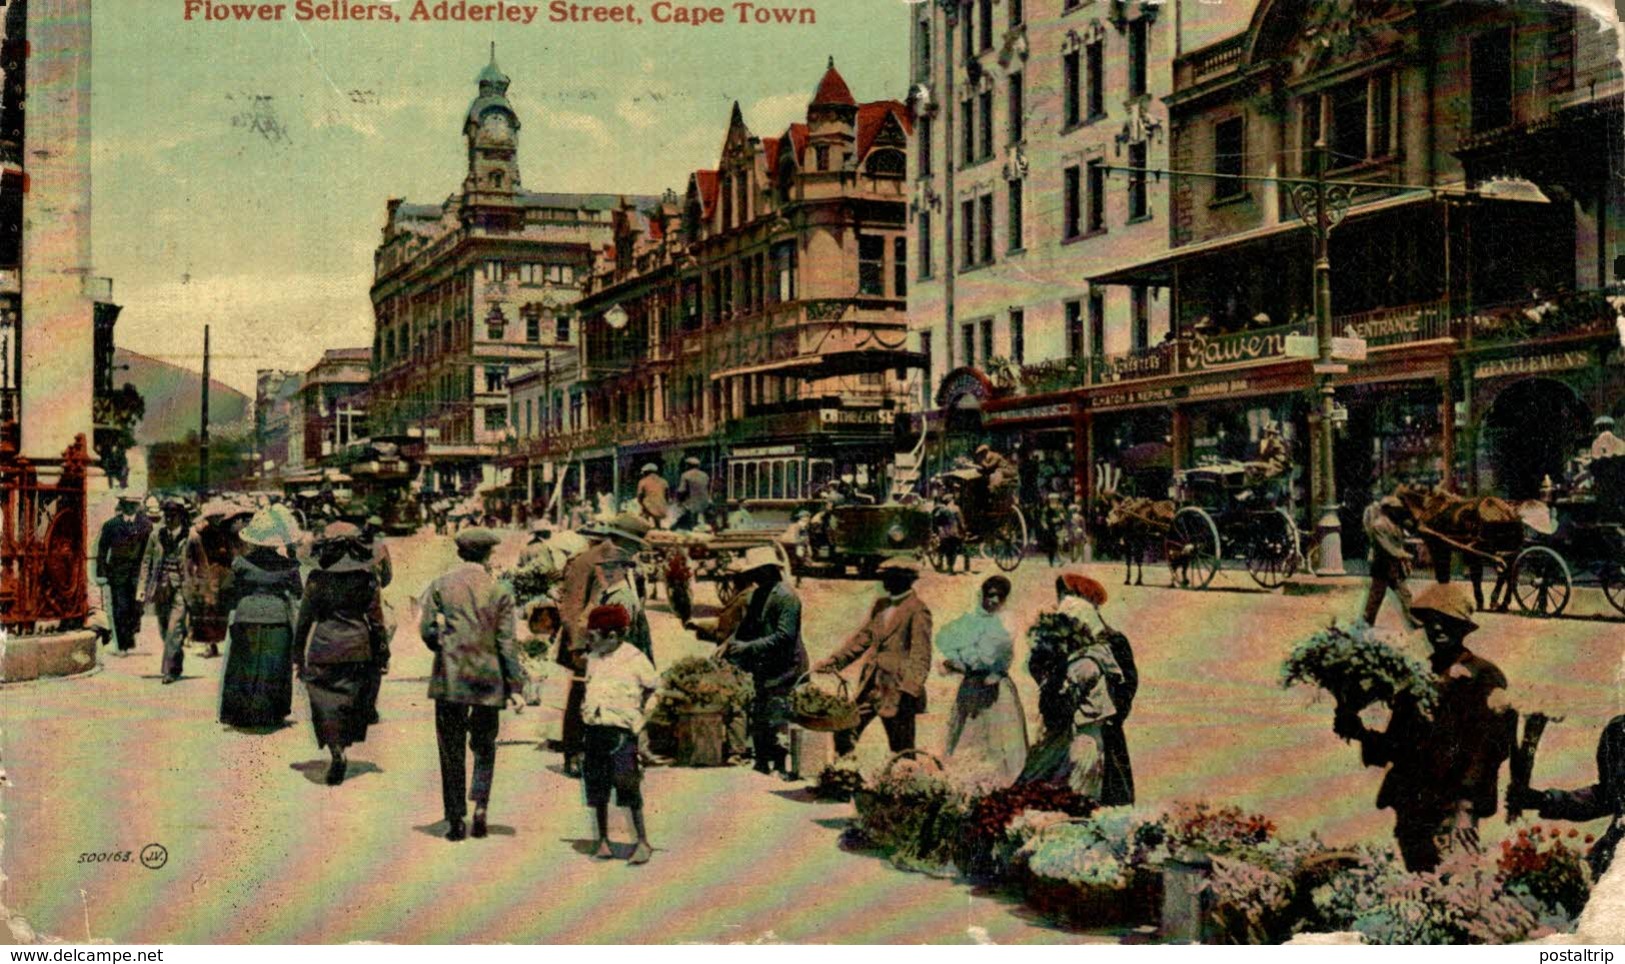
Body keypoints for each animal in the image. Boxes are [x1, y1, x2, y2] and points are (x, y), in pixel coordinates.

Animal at [1391, 484, 1527, 611]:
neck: (1427, 507)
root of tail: (1509, 514)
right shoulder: (1449, 549)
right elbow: (1451, 575)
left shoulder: (1439, 547)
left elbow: (1445, 575)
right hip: (1506, 551)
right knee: (1510, 574)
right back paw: (1503, 603)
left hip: (1489, 550)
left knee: (1504, 574)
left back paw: (1495, 600)